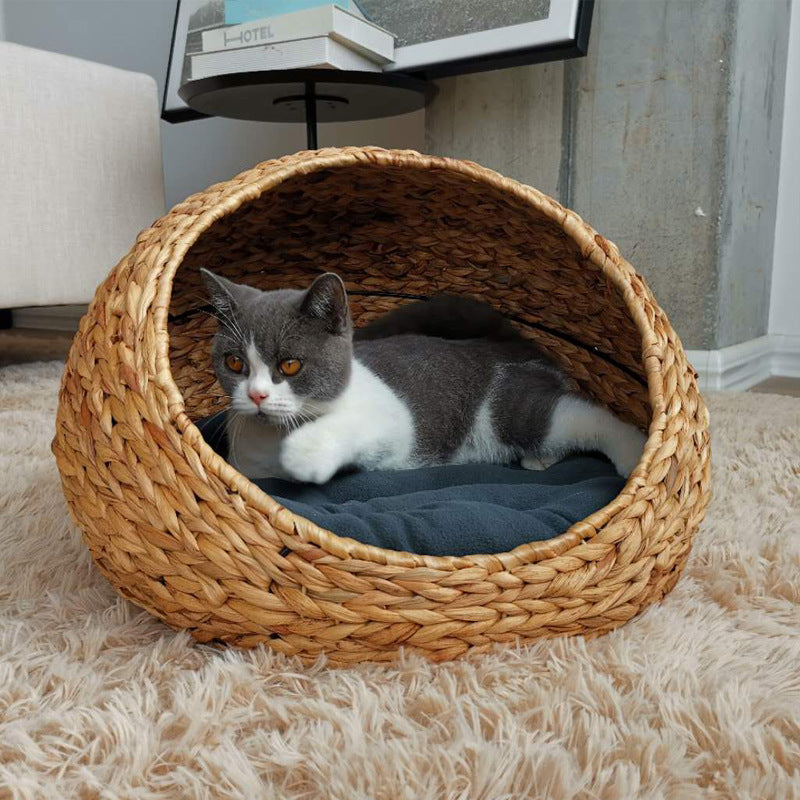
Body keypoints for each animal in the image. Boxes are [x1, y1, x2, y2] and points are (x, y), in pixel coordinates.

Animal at [202, 268, 648, 482]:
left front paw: (306, 453)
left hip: (510, 406)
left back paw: (634, 453)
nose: (257, 396)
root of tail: (513, 341)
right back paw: (539, 459)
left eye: (290, 365)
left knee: (579, 415)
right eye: (235, 363)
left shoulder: (395, 420)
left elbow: (357, 426)